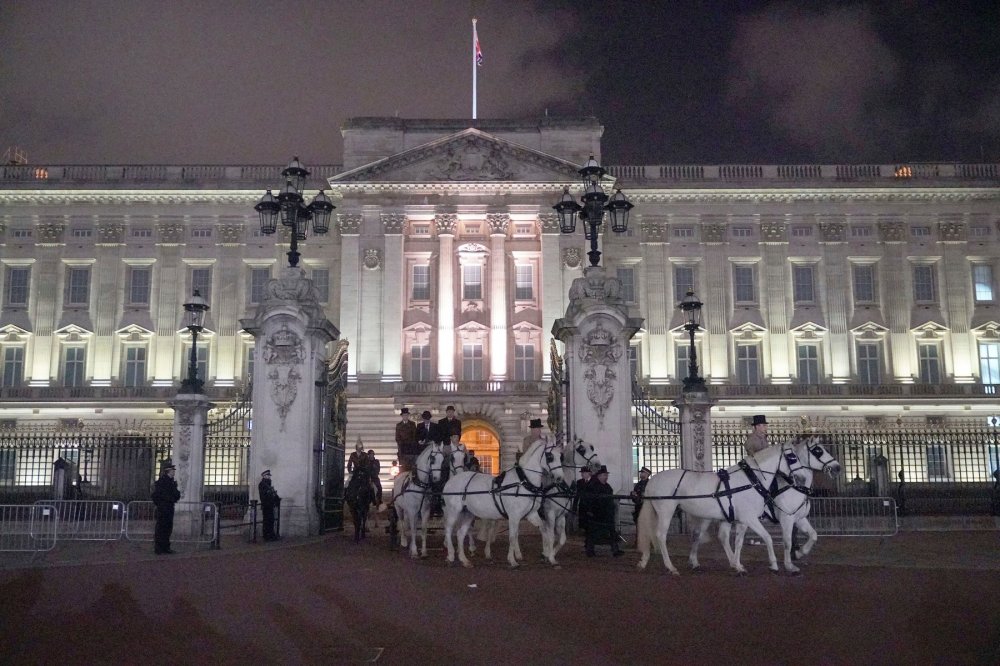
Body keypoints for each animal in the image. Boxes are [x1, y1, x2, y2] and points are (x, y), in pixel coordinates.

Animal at [444, 436, 568, 564]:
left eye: (561, 456)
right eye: (550, 456)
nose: (560, 478)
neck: (523, 482)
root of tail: (452, 480)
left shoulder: (531, 514)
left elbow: (545, 531)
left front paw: (549, 555)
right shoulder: (514, 516)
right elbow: (512, 537)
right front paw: (512, 560)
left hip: (468, 513)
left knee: (460, 534)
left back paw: (464, 560)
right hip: (453, 511)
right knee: (448, 530)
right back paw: (451, 555)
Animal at [636, 434, 840, 572]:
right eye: (818, 451)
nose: (837, 467)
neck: (753, 480)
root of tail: (653, 480)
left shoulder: (750, 519)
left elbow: (812, 535)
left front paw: (739, 564)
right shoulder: (772, 518)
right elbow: (776, 539)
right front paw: (780, 564)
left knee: (701, 536)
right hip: (666, 511)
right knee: (661, 535)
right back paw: (670, 567)